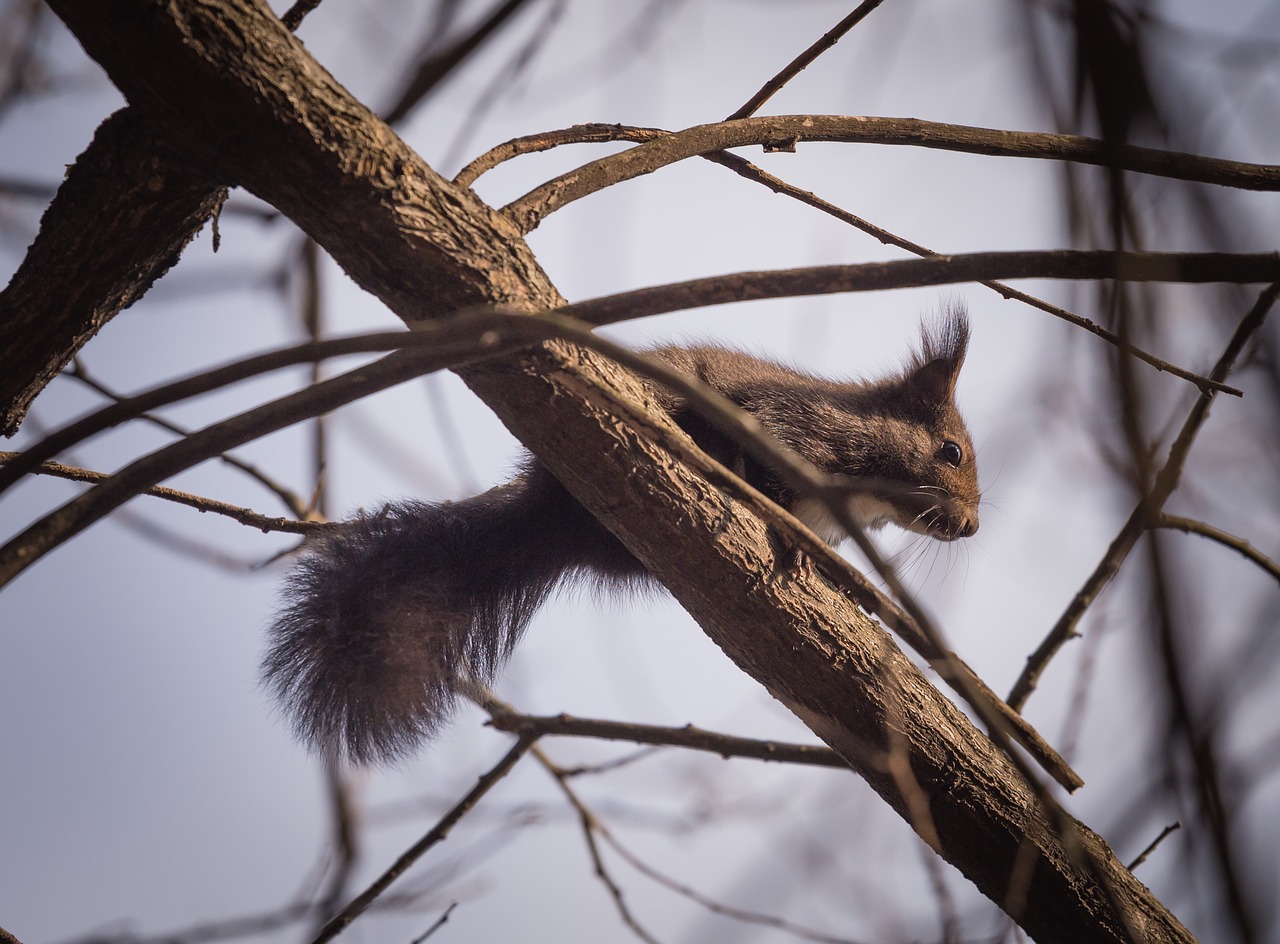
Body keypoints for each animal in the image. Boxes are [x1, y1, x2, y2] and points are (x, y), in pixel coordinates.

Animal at [262, 305, 977, 762]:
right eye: (950, 453)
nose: (971, 526)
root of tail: (547, 518)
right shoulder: (789, 425)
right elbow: (767, 465)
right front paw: (794, 539)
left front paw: (840, 579)